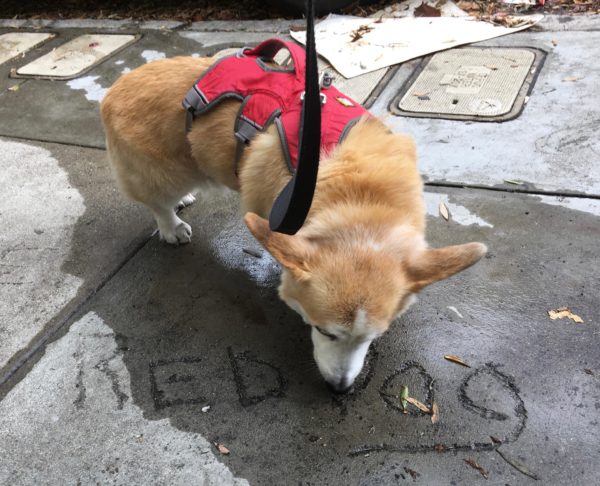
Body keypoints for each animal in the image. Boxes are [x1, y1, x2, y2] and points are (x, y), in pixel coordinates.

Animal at [101, 54, 486, 394]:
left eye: (373, 337)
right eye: (324, 331)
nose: (340, 390)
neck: (360, 200)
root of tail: (113, 89)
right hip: (165, 171)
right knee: (158, 202)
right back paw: (173, 225)